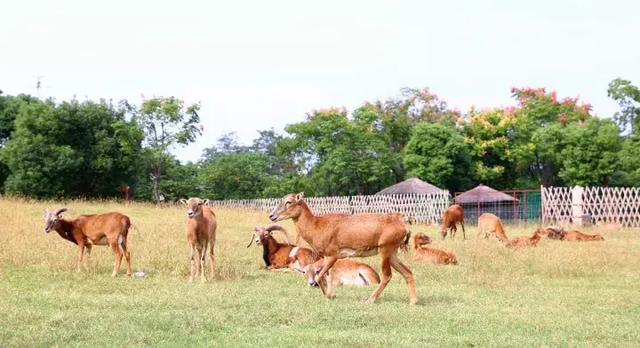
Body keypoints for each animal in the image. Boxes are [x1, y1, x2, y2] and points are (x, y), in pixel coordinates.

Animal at [268, 193, 418, 304]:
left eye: (289, 202)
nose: (272, 216)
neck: (316, 226)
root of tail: (403, 223)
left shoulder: (333, 254)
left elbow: (320, 275)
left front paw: (330, 296)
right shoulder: (326, 256)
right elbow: (324, 274)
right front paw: (330, 295)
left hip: (385, 250)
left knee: (387, 276)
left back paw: (369, 300)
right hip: (392, 253)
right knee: (407, 272)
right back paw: (413, 301)